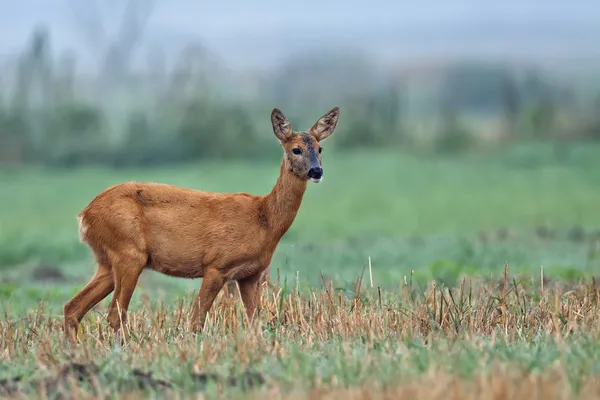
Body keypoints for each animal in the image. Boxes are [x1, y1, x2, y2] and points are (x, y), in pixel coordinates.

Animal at [65, 107, 340, 344]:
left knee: (73, 307)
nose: (316, 171)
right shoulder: (216, 265)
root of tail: (85, 214)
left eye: (320, 148)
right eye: (296, 149)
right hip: (129, 252)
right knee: (114, 313)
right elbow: (196, 321)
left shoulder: (250, 275)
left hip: (107, 261)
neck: (264, 219)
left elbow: (255, 322)